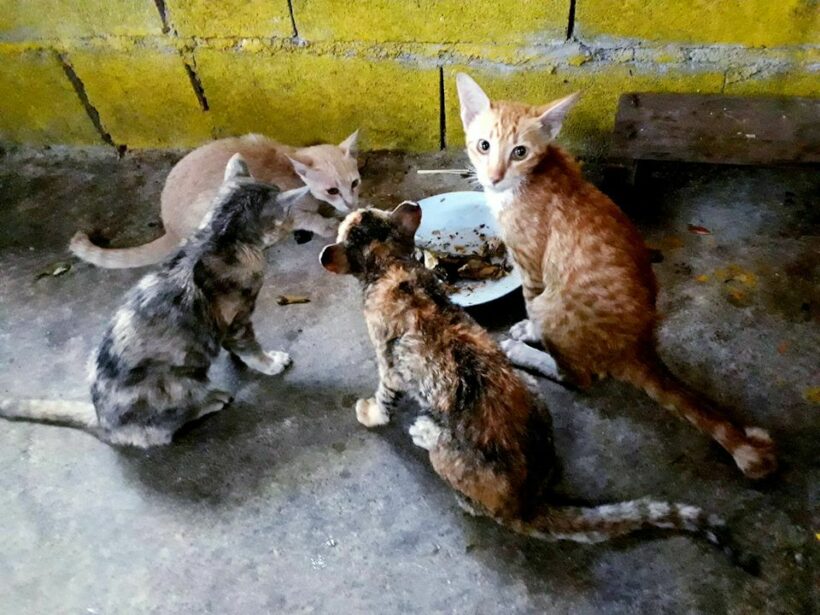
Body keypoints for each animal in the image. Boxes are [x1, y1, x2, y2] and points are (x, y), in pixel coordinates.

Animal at [1, 154, 296, 448]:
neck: (218, 236)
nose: (294, 226)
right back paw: (211, 400)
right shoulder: (238, 319)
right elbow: (251, 348)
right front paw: (270, 363)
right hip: (178, 383)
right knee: (167, 427)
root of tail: (103, 423)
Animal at [71, 131, 362, 268]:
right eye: (332, 190)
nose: (351, 203)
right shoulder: (281, 208)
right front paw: (327, 224)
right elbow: (307, 218)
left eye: (354, 184)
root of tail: (170, 229)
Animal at [318, 203, 756, 572]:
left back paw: (423, 434)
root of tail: (527, 502)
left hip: (448, 453)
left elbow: (383, 399)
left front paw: (368, 413)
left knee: (471, 501)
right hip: (527, 385)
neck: (392, 265)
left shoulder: (389, 365)